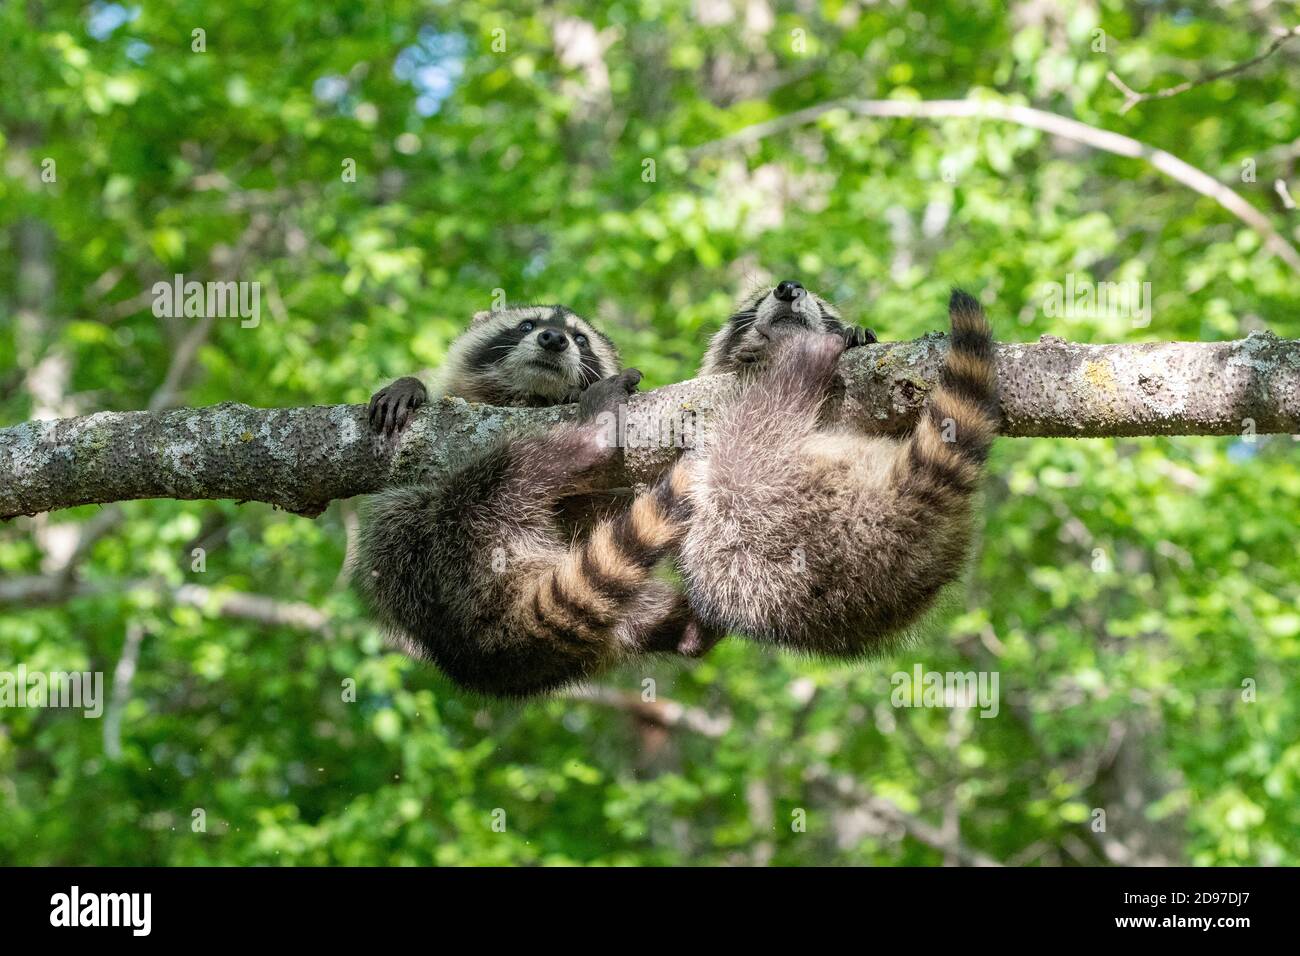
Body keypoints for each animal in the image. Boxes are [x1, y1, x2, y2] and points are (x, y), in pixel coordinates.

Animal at [356, 305, 715, 698]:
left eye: (580, 339)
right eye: (527, 325)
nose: (554, 339)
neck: (532, 396)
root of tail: (488, 643)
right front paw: (410, 386)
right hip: (448, 534)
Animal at [657, 282, 999, 656]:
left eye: (821, 306)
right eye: (757, 301)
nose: (789, 287)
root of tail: (903, 510)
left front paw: (859, 337)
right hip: (756, 506)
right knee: (764, 414)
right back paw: (801, 360)